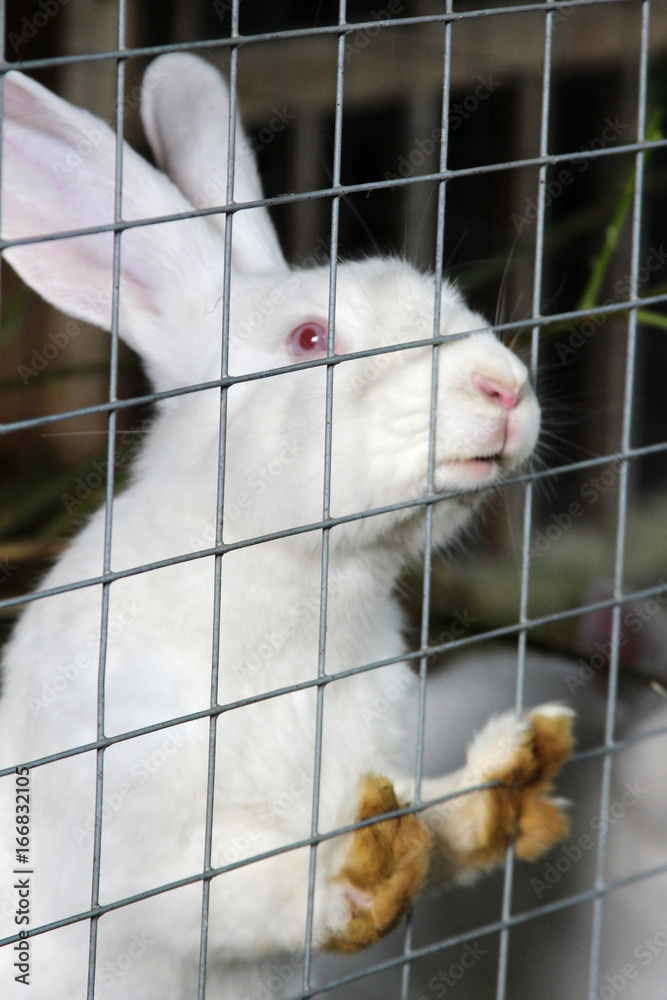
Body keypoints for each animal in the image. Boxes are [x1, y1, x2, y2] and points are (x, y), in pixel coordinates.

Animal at [0, 54, 574, 1000]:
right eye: (310, 339)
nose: (504, 388)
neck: (311, 598)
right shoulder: (142, 840)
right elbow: (225, 891)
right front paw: (352, 874)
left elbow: (428, 823)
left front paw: (513, 776)